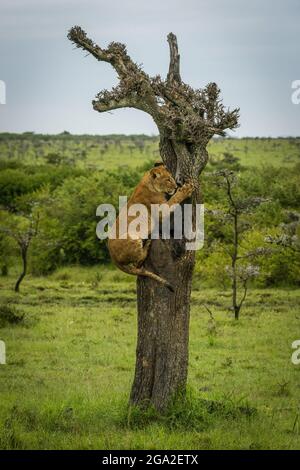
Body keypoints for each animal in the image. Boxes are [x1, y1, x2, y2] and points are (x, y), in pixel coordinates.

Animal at [106, 163, 193, 292]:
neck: (147, 182)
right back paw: (147, 246)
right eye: (168, 180)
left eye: (171, 178)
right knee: (138, 262)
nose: (175, 186)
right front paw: (186, 189)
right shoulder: (162, 211)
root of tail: (113, 258)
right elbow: (175, 198)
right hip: (132, 236)